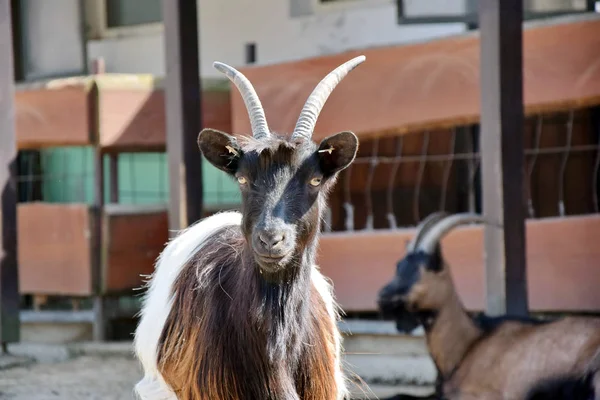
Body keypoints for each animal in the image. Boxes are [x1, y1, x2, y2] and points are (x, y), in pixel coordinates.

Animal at [378, 211, 600, 398]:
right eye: (398, 266)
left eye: (422, 268)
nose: (382, 297)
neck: (468, 345)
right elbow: (399, 395)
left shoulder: (485, 394)